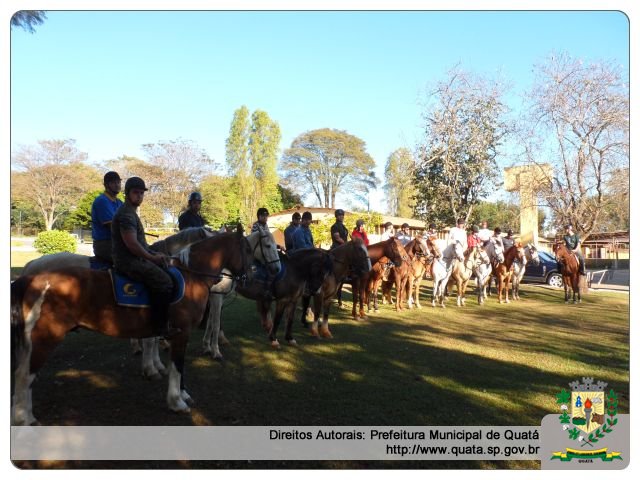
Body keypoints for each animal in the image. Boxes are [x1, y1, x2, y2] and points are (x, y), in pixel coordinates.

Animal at [10, 229, 274, 424]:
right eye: (251, 248)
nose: (252, 275)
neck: (190, 276)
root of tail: (32, 277)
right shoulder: (181, 332)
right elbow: (177, 365)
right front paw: (176, 400)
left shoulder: (178, 333)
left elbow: (176, 362)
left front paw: (179, 390)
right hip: (45, 339)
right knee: (25, 376)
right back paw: (24, 420)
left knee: (25, 375)